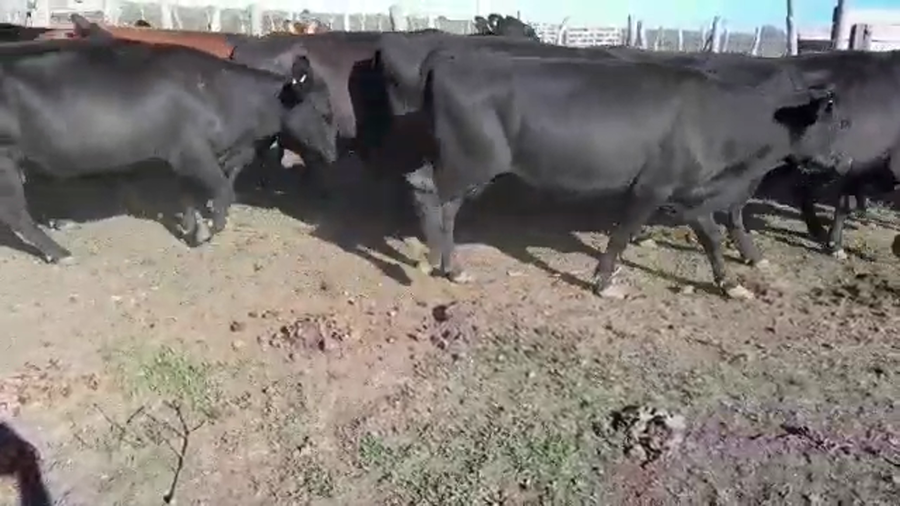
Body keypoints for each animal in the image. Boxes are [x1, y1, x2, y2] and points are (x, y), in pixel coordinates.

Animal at [0, 37, 337, 264]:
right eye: (324, 114)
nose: (333, 154)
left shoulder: (183, 158)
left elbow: (187, 193)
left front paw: (191, 226)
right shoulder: (193, 152)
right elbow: (222, 190)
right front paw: (208, 230)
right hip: (5, 159)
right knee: (15, 212)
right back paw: (59, 252)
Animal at [379, 41, 844, 299]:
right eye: (837, 124)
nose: (844, 160)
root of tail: (450, 59)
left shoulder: (688, 193)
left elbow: (712, 237)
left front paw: (730, 284)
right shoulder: (651, 186)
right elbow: (621, 234)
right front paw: (604, 282)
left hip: (469, 167)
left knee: (447, 207)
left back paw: (451, 266)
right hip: (470, 159)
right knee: (424, 189)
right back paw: (430, 263)